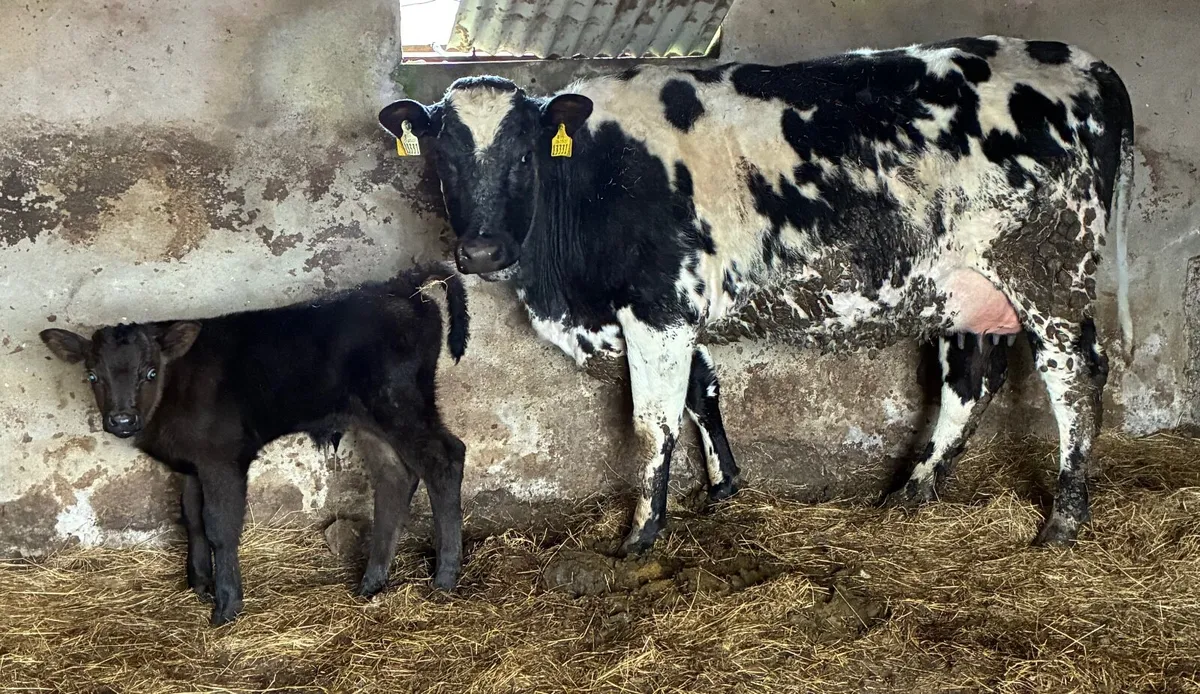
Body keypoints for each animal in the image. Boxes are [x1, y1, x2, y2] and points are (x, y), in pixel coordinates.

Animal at [39, 263, 470, 625]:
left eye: (149, 372)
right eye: (92, 376)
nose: (122, 420)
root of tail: (403, 287)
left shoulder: (222, 458)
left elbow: (220, 526)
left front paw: (226, 605)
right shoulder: (192, 463)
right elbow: (191, 518)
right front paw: (199, 584)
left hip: (400, 403)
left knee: (444, 459)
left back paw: (444, 578)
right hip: (368, 418)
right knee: (395, 475)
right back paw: (372, 582)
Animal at [378, 36, 1135, 557]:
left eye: (523, 155)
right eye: (444, 159)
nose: (481, 252)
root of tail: (1086, 64)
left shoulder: (659, 308)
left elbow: (653, 422)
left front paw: (641, 533)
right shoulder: (679, 314)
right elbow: (702, 394)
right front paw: (723, 488)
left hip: (1051, 272)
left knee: (1075, 380)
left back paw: (1063, 520)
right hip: (965, 288)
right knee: (969, 382)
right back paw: (912, 492)